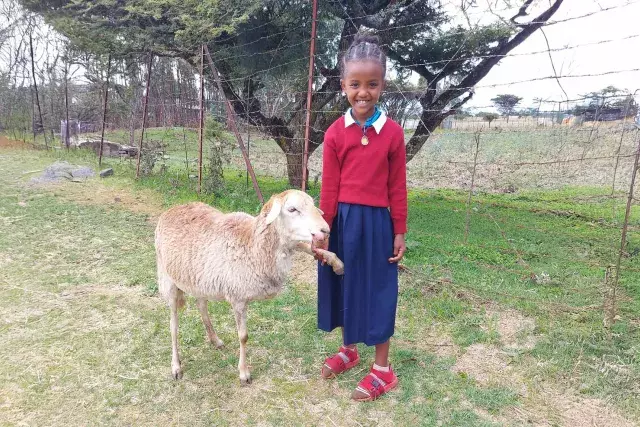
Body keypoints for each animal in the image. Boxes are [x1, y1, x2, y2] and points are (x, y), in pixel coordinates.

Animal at [154, 189, 344, 384]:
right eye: (292, 209)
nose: (325, 230)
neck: (253, 245)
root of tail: (172, 209)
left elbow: (306, 246)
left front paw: (334, 261)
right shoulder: (237, 298)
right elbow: (243, 337)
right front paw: (244, 372)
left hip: (199, 279)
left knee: (201, 306)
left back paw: (215, 339)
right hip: (168, 280)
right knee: (173, 325)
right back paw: (176, 366)